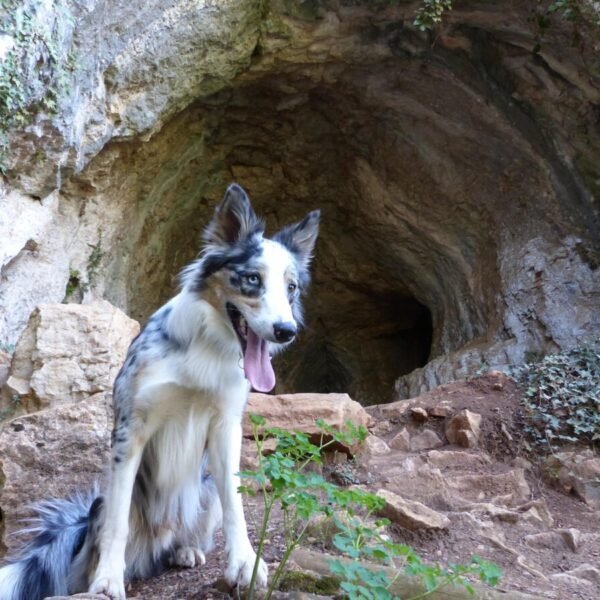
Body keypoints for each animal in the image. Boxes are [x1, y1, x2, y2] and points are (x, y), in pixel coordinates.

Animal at [0, 184, 318, 600]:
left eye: (291, 287)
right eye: (252, 279)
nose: (286, 331)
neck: (206, 349)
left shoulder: (225, 426)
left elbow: (236, 506)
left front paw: (245, 565)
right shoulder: (131, 430)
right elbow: (118, 523)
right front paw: (107, 581)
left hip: (204, 488)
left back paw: (184, 550)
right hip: (98, 508)